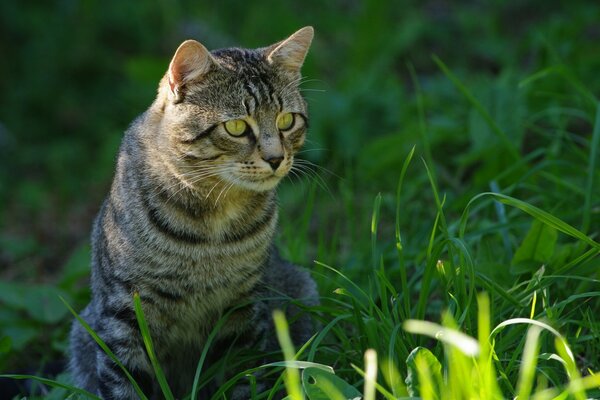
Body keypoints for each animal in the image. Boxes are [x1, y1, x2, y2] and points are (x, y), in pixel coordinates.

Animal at [68, 26, 322, 398]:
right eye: (236, 127)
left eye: (287, 120)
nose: (276, 158)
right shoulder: (124, 313)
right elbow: (124, 383)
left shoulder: (243, 308)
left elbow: (242, 377)